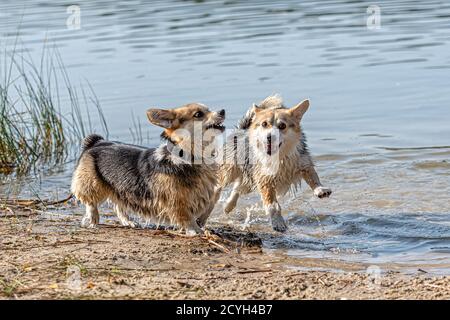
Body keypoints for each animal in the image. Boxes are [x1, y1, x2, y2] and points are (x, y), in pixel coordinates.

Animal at [71, 102, 225, 235]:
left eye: (208, 109)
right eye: (198, 114)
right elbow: (187, 217)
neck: (188, 155)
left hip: (120, 188)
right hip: (92, 184)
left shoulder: (208, 191)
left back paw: (128, 222)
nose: (222, 111)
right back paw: (93, 220)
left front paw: (201, 223)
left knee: (119, 205)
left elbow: (209, 206)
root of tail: (96, 142)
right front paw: (195, 231)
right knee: (91, 202)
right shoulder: (176, 200)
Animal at [211, 95, 330, 232]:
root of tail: (241, 130)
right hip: (230, 170)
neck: (279, 157)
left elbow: (313, 176)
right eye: (264, 124)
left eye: (282, 126)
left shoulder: (302, 162)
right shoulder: (265, 180)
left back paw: (228, 206)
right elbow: (273, 205)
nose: (269, 137)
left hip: (249, 180)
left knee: (238, 187)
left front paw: (321, 190)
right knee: (220, 184)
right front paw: (278, 222)